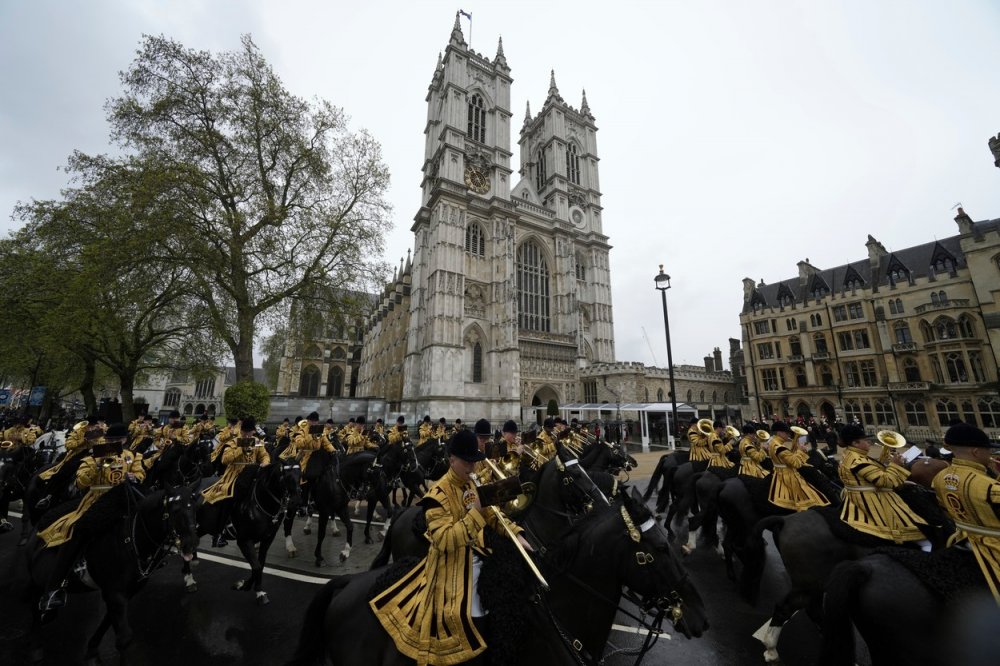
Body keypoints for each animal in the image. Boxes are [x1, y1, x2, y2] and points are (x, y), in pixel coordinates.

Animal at [25, 480, 200, 660]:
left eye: (194, 507)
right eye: (175, 509)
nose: (191, 544)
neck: (131, 541)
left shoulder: (125, 593)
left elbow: (109, 622)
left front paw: (93, 644)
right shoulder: (114, 593)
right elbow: (124, 638)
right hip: (36, 580)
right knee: (35, 604)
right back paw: (38, 638)